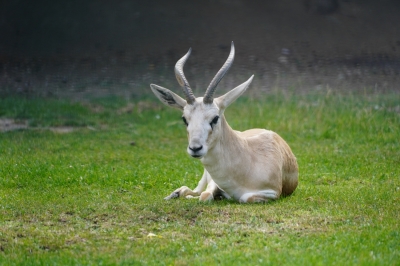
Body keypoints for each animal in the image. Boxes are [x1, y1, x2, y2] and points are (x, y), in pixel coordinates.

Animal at [150, 42, 296, 203]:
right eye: (184, 119)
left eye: (215, 118)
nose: (195, 148)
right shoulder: (215, 182)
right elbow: (205, 195)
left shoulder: (272, 192)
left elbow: (244, 197)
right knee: (191, 190)